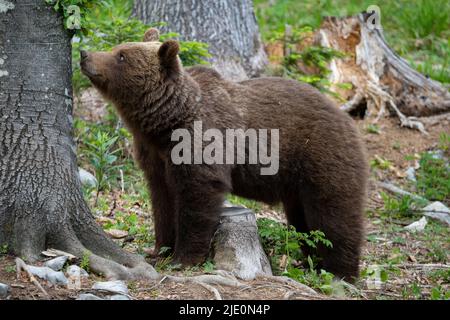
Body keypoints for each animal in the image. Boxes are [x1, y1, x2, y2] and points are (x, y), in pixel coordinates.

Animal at [80, 28, 370, 282]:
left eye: (121, 56)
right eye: (118, 48)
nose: (85, 54)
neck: (165, 123)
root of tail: (347, 118)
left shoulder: (201, 142)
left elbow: (197, 198)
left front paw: (183, 257)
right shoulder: (154, 156)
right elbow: (162, 200)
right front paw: (160, 249)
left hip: (322, 156)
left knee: (334, 216)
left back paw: (340, 271)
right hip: (297, 181)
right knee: (303, 220)